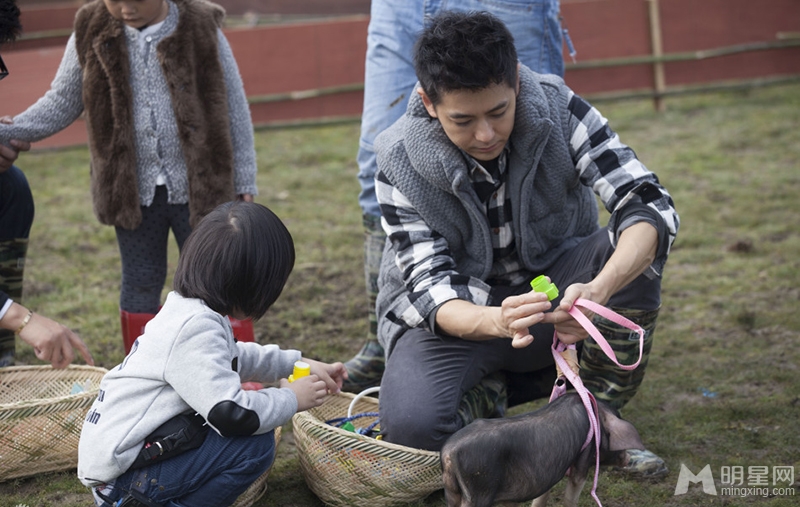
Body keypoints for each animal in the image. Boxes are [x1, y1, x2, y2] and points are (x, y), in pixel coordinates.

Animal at [440, 392, 648, 504]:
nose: (629, 458)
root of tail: (449, 452)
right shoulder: (584, 457)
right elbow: (572, 494)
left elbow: (542, 495)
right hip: (479, 489)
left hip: (451, 489)